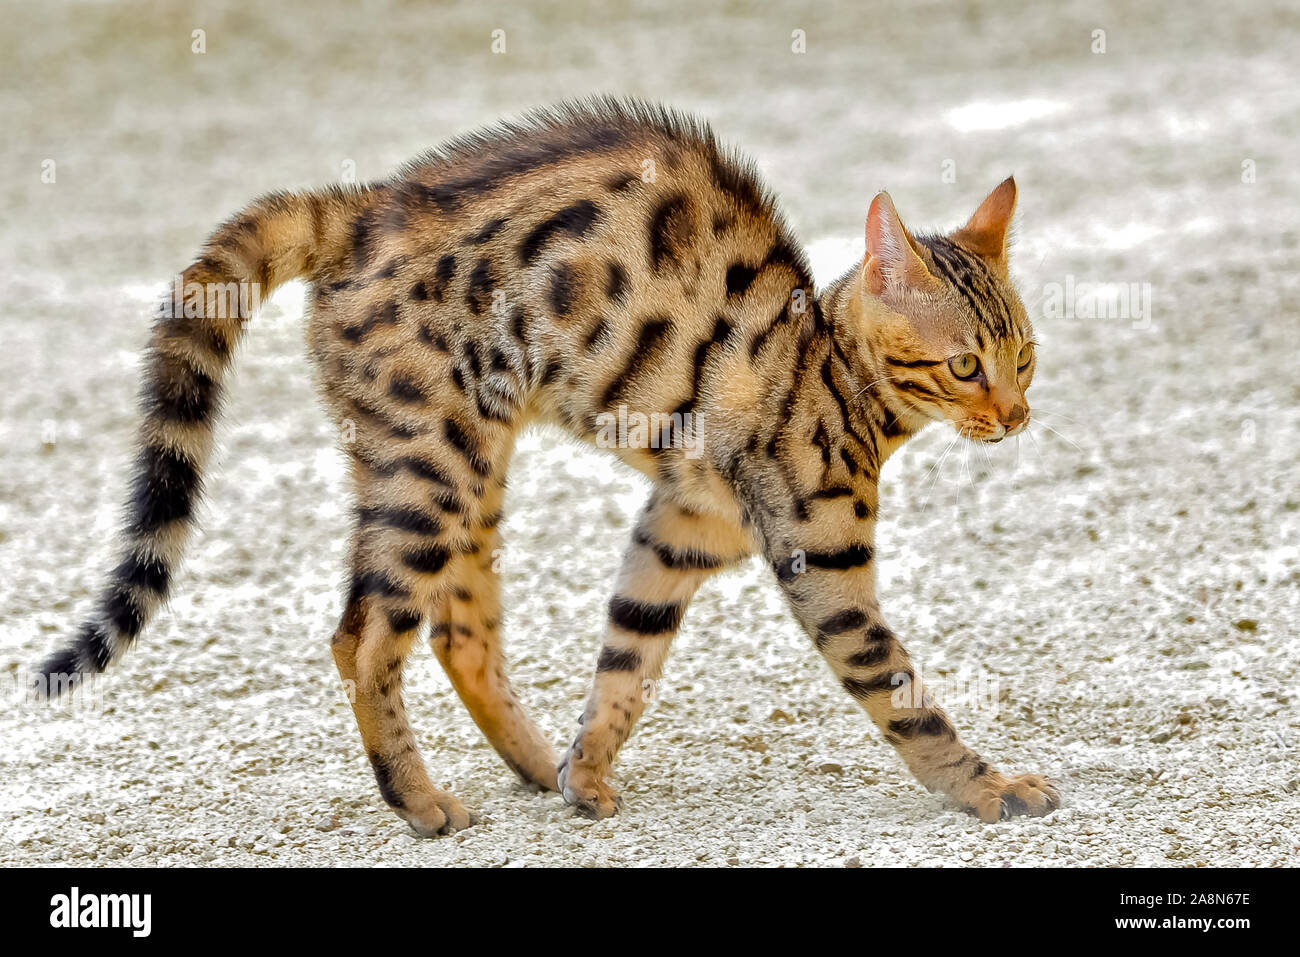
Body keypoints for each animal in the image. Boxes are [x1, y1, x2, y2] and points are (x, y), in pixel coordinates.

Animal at [36, 98, 1057, 836]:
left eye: (1025, 354)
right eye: (965, 365)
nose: (1016, 416)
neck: (829, 370)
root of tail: (365, 204)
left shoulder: (677, 532)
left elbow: (625, 662)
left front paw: (587, 769)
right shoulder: (823, 562)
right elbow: (904, 692)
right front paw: (987, 787)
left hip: (461, 467)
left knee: (457, 632)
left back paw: (534, 764)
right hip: (435, 469)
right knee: (363, 639)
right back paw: (419, 803)